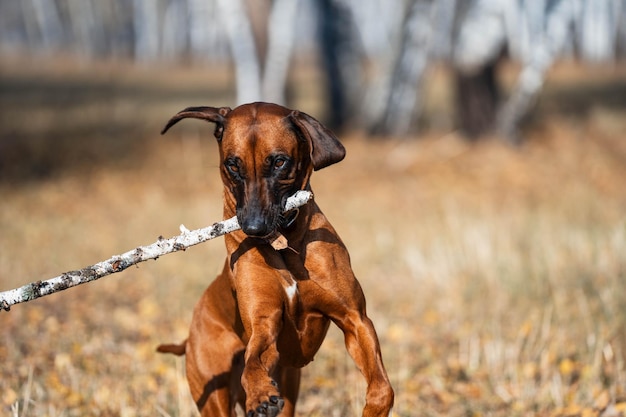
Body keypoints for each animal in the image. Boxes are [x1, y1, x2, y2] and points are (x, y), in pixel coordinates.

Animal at [157, 101, 390, 416]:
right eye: (233, 164)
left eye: (279, 162)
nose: (254, 228)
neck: (285, 244)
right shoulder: (264, 325)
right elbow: (254, 362)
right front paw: (260, 395)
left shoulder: (356, 320)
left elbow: (382, 388)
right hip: (212, 389)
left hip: (290, 385)